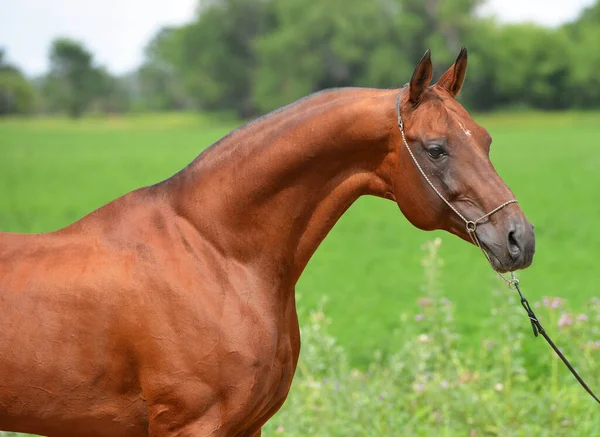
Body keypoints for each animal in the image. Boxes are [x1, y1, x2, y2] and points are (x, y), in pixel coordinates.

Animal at [0, 48, 536, 436]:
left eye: (485, 140)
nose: (519, 239)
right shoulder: (191, 427)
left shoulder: (248, 426)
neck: (216, 254)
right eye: (436, 149)